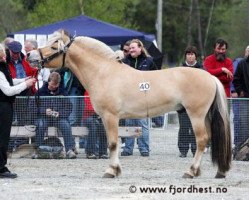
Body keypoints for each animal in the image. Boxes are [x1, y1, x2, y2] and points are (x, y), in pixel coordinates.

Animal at [27, 29, 231, 178]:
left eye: (54, 45)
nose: (30, 55)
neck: (103, 73)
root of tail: (210, 77)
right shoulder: (106, 119)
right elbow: (114, 143)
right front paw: (115, 169)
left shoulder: (110, 117)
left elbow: (112, 143)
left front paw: (111, 171)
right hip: (205, 116)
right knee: (208, 139)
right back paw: (205, 171)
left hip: (196, 115)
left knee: (202, 140)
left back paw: (190, 171)